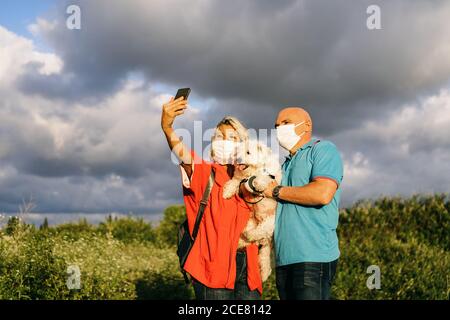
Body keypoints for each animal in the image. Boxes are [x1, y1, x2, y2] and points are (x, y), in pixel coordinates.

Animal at [224, 141, 284, 282]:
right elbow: (234, 181)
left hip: (271, 222)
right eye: (237, 152)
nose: (237, 158)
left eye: (248, 152)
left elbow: (261, 178)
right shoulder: (239, 178)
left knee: (259, 232)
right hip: (252, 221)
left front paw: (257, 183)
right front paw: (227, 192)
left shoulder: (269, 176)